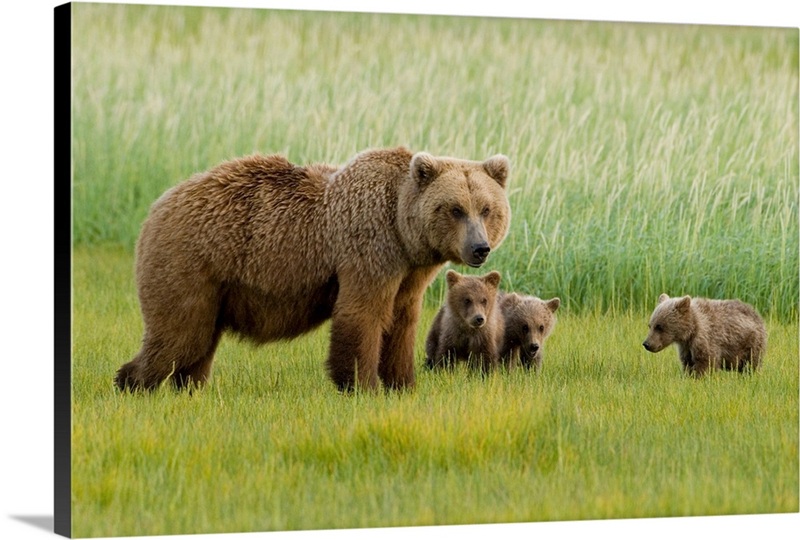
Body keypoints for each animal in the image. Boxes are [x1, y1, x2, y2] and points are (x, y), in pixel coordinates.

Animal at [114, 147, 511, 392]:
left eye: (486, 209)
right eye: (455, 209)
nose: (479, 248)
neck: (402, 230)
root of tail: (157, 205)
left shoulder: (409, 274)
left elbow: (401, 323)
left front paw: (402, 384)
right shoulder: (368, 249)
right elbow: (362, 315)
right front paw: (361, 385)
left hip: (215, 288)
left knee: (198, 343)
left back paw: (189, 387)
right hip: (190, 263)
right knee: (180, 334)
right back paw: (132, 383)